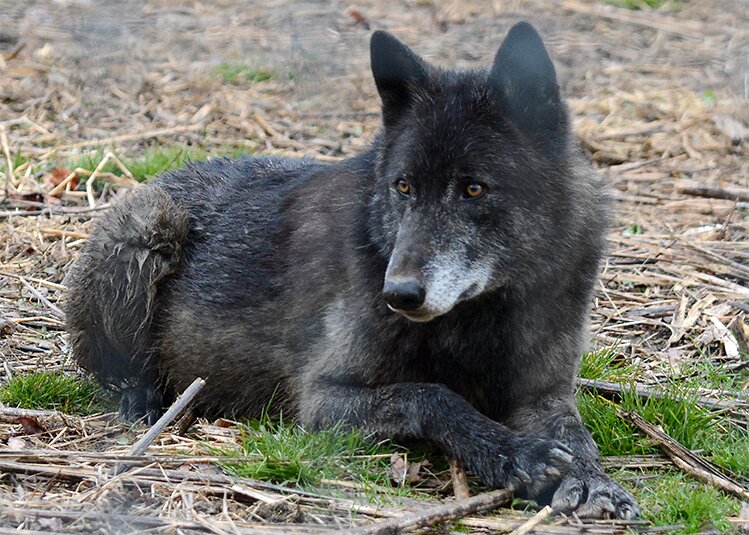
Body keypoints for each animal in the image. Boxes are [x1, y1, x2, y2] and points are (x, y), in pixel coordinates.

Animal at [65, 24, 636, 520]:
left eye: (473, 188)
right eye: (403, 187)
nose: (398, 293)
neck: (479, 318)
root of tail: (169, 171)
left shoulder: (545, 394)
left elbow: (577, 435)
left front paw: (595, 481)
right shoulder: (322, 400)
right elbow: (433, 396)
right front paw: (517, 454)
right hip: (145, 228)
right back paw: (145, 408)